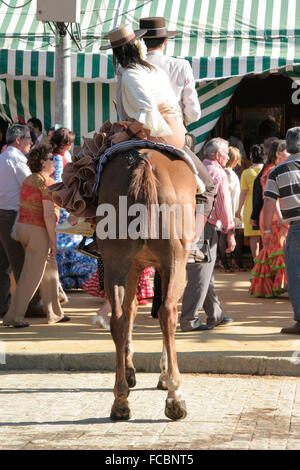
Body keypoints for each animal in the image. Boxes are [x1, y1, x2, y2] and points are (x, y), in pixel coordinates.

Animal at [96, 149, 197, 420]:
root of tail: (143, 162)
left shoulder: (133, 268)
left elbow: (130, 311)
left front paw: (130, 370)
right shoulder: (168, 266)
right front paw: (164, 376)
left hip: (115, 263)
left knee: (118, 319)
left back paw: (120, 400)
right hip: (175, 261)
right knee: (167, 312)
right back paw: (175, 397)